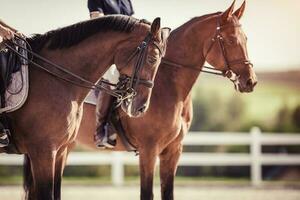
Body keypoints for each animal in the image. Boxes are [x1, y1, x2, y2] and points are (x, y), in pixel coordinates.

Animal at [76, 0, 256, 199]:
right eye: (231, 40)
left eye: (246, 39)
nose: (250, 81)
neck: (169, 86)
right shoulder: (149, 150)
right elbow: (147, 193)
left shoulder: (173, 150)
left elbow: (168, 192)